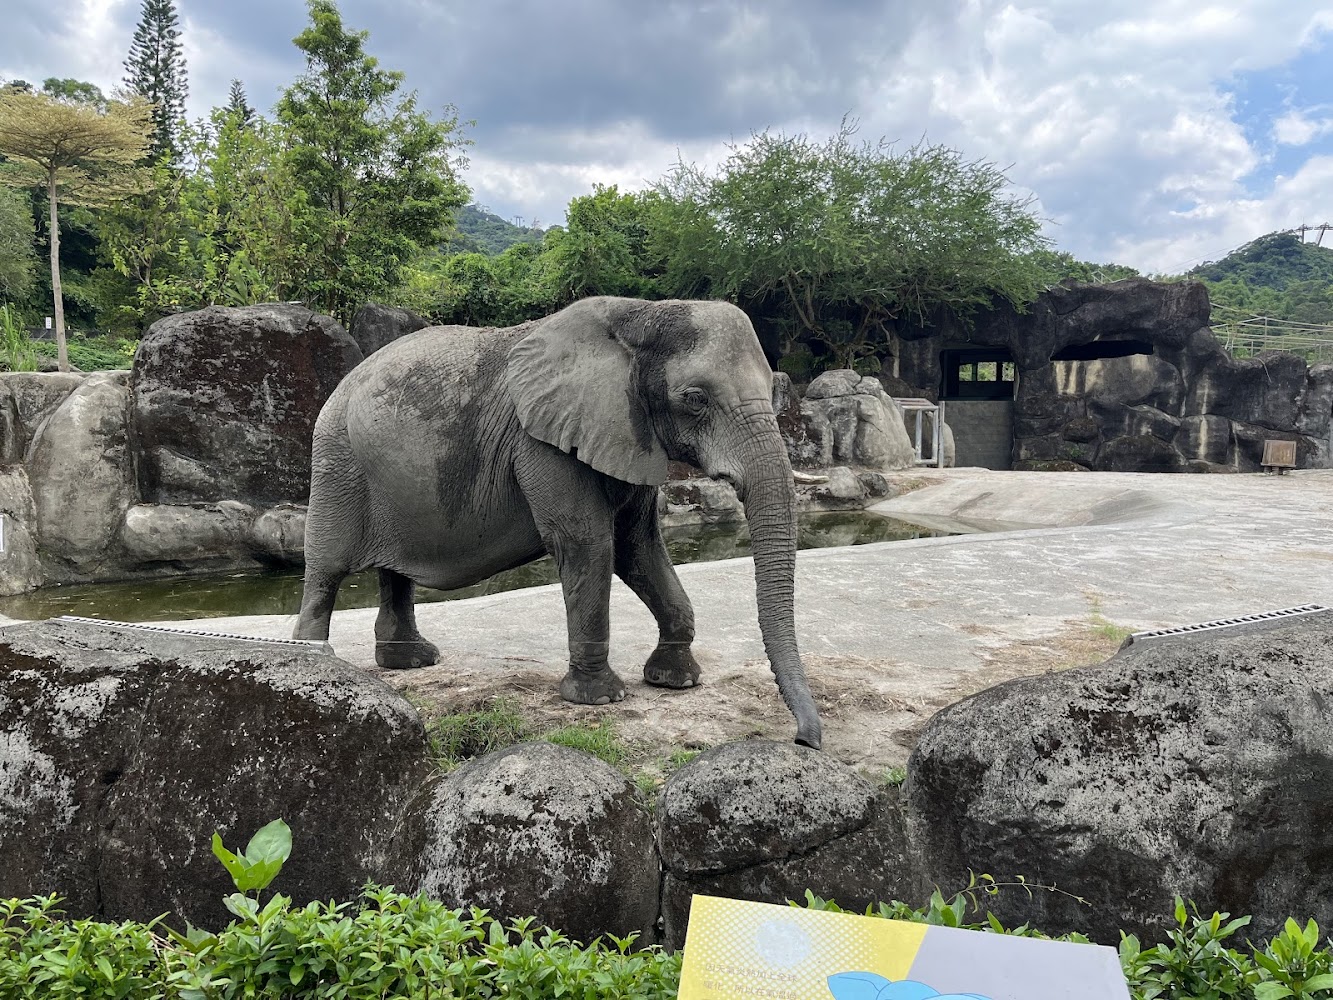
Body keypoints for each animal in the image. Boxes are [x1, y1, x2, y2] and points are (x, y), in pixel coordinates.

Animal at [293, 296, 822, 749]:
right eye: (695, 399)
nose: (804, 741)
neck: (642, 316)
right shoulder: (542, 443)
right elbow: (590, 544)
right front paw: (600, 698)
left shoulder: (629, 433)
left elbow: (639, 548)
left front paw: (676, 680)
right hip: (338, 462)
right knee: (326, 569)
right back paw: (313, 662)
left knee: (394, 572)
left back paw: (412, 662)